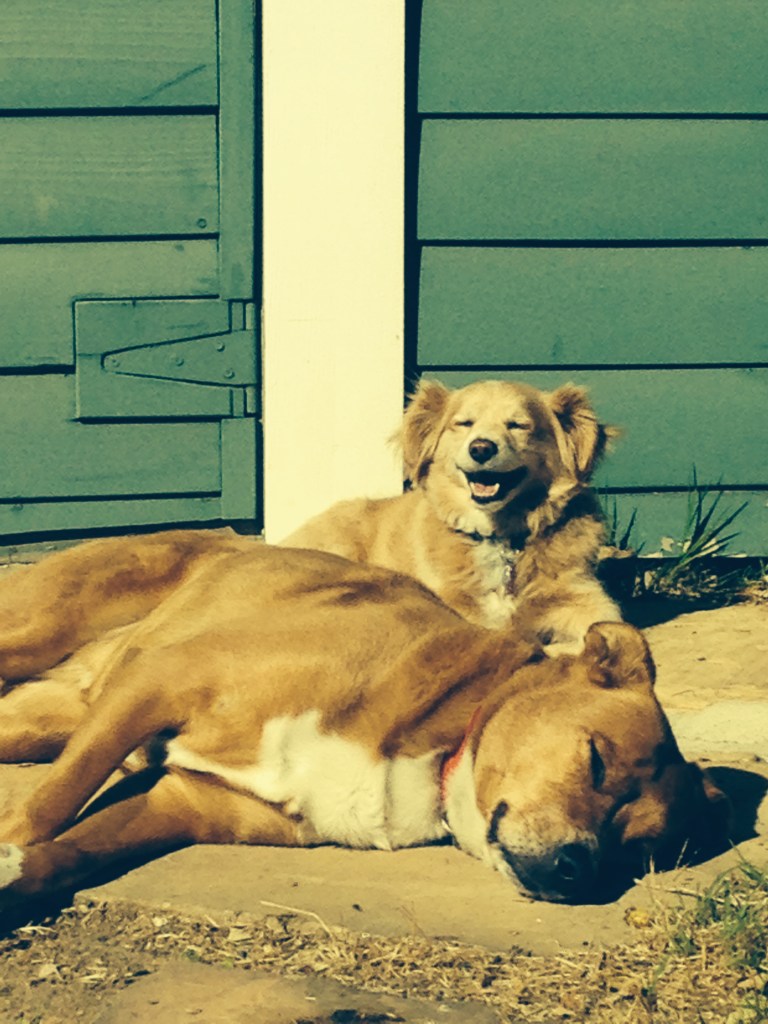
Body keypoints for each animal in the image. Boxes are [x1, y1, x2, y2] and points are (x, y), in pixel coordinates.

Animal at [0, 532, 726, 905]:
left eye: (639, 850)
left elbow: (69, 852)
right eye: (596, 760)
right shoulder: (163, 679)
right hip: (36, 635)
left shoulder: (180, 803)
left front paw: (19, 877)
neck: (444, 737)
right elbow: (46, 809)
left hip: (41, 719)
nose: (579, 869)